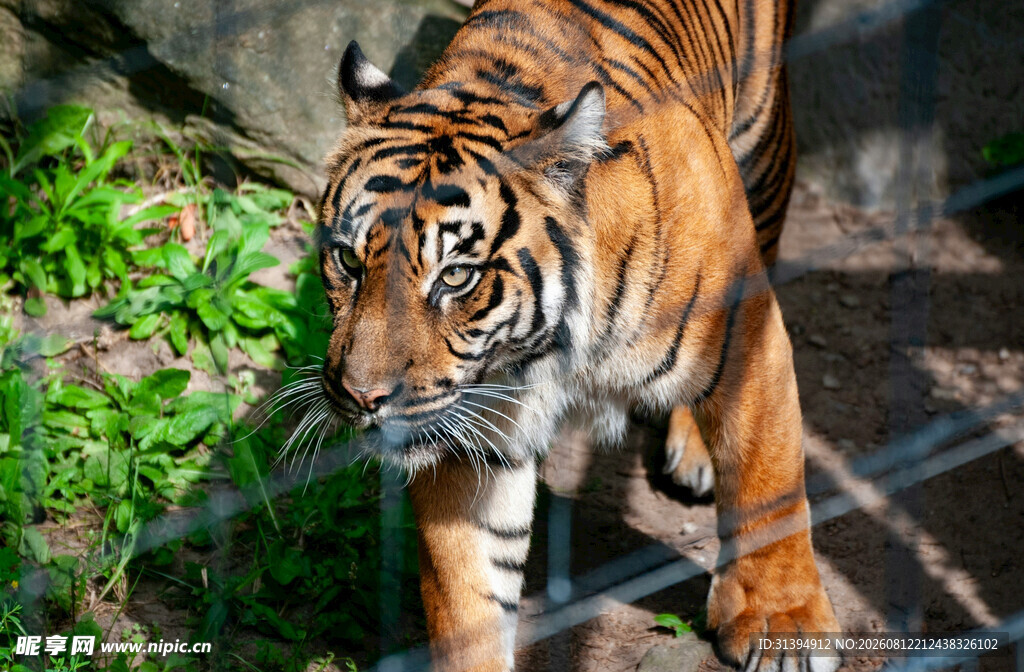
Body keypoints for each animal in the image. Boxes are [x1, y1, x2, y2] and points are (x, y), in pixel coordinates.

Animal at [311, 0, 840, 670]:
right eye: (348, 261)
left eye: (456, 275)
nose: (361, 397)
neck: (543, 350)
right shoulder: (473, 428)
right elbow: (468, 587)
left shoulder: (748, 336)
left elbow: (768, 480)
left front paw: (784, 625)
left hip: (764, 154)